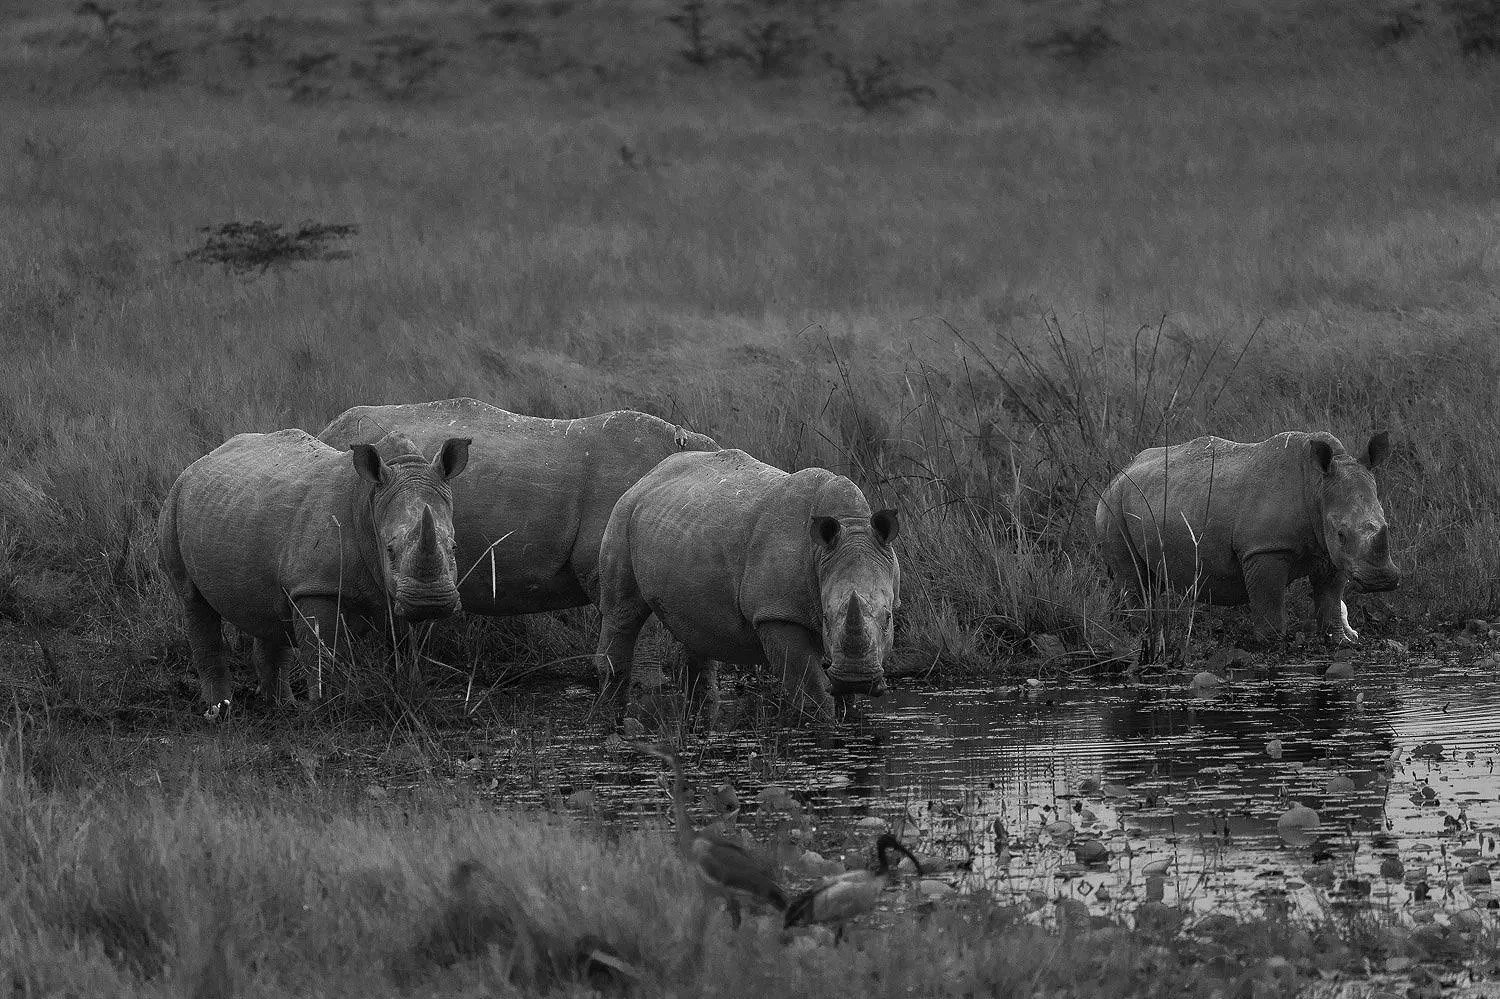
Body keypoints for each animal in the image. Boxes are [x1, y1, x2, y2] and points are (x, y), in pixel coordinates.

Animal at [158, 429, 471, 719]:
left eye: (454, 546)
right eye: (390, 549)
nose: (431, 602)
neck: (369, 501)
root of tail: (200, 461)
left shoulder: (394, 591)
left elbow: (405, 645)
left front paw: (411, 688)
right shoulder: (316, 586)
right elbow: (324, 652)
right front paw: (332, 708)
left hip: (239, 508)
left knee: (271, 611)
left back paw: (282, 707)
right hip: (174, 501)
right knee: (193, 601)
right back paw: (219, 711)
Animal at [594, 449, 901, 722]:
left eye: (888, 618)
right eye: (825, 617)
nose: (856, 678)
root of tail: (648, 475)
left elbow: (845, 699)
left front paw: (848, 708)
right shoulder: (777, 612)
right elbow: (811, 692)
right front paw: (821, 723)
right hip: (622, 513)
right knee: (622, 613)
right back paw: (611, 708)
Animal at [1095, 430, 1398, 643]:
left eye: (1387, 525)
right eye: (1341, 533)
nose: (1382, 580)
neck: (1316, 487)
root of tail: (1119, 473)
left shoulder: (1328, 550)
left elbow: (1331, 597)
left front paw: (1339, 639)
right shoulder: (1264, 549)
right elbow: (1270, 602)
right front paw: (1272, 642)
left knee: (1145, 578)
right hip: (1112, 507)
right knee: (1134, 580)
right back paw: (1143, 633)